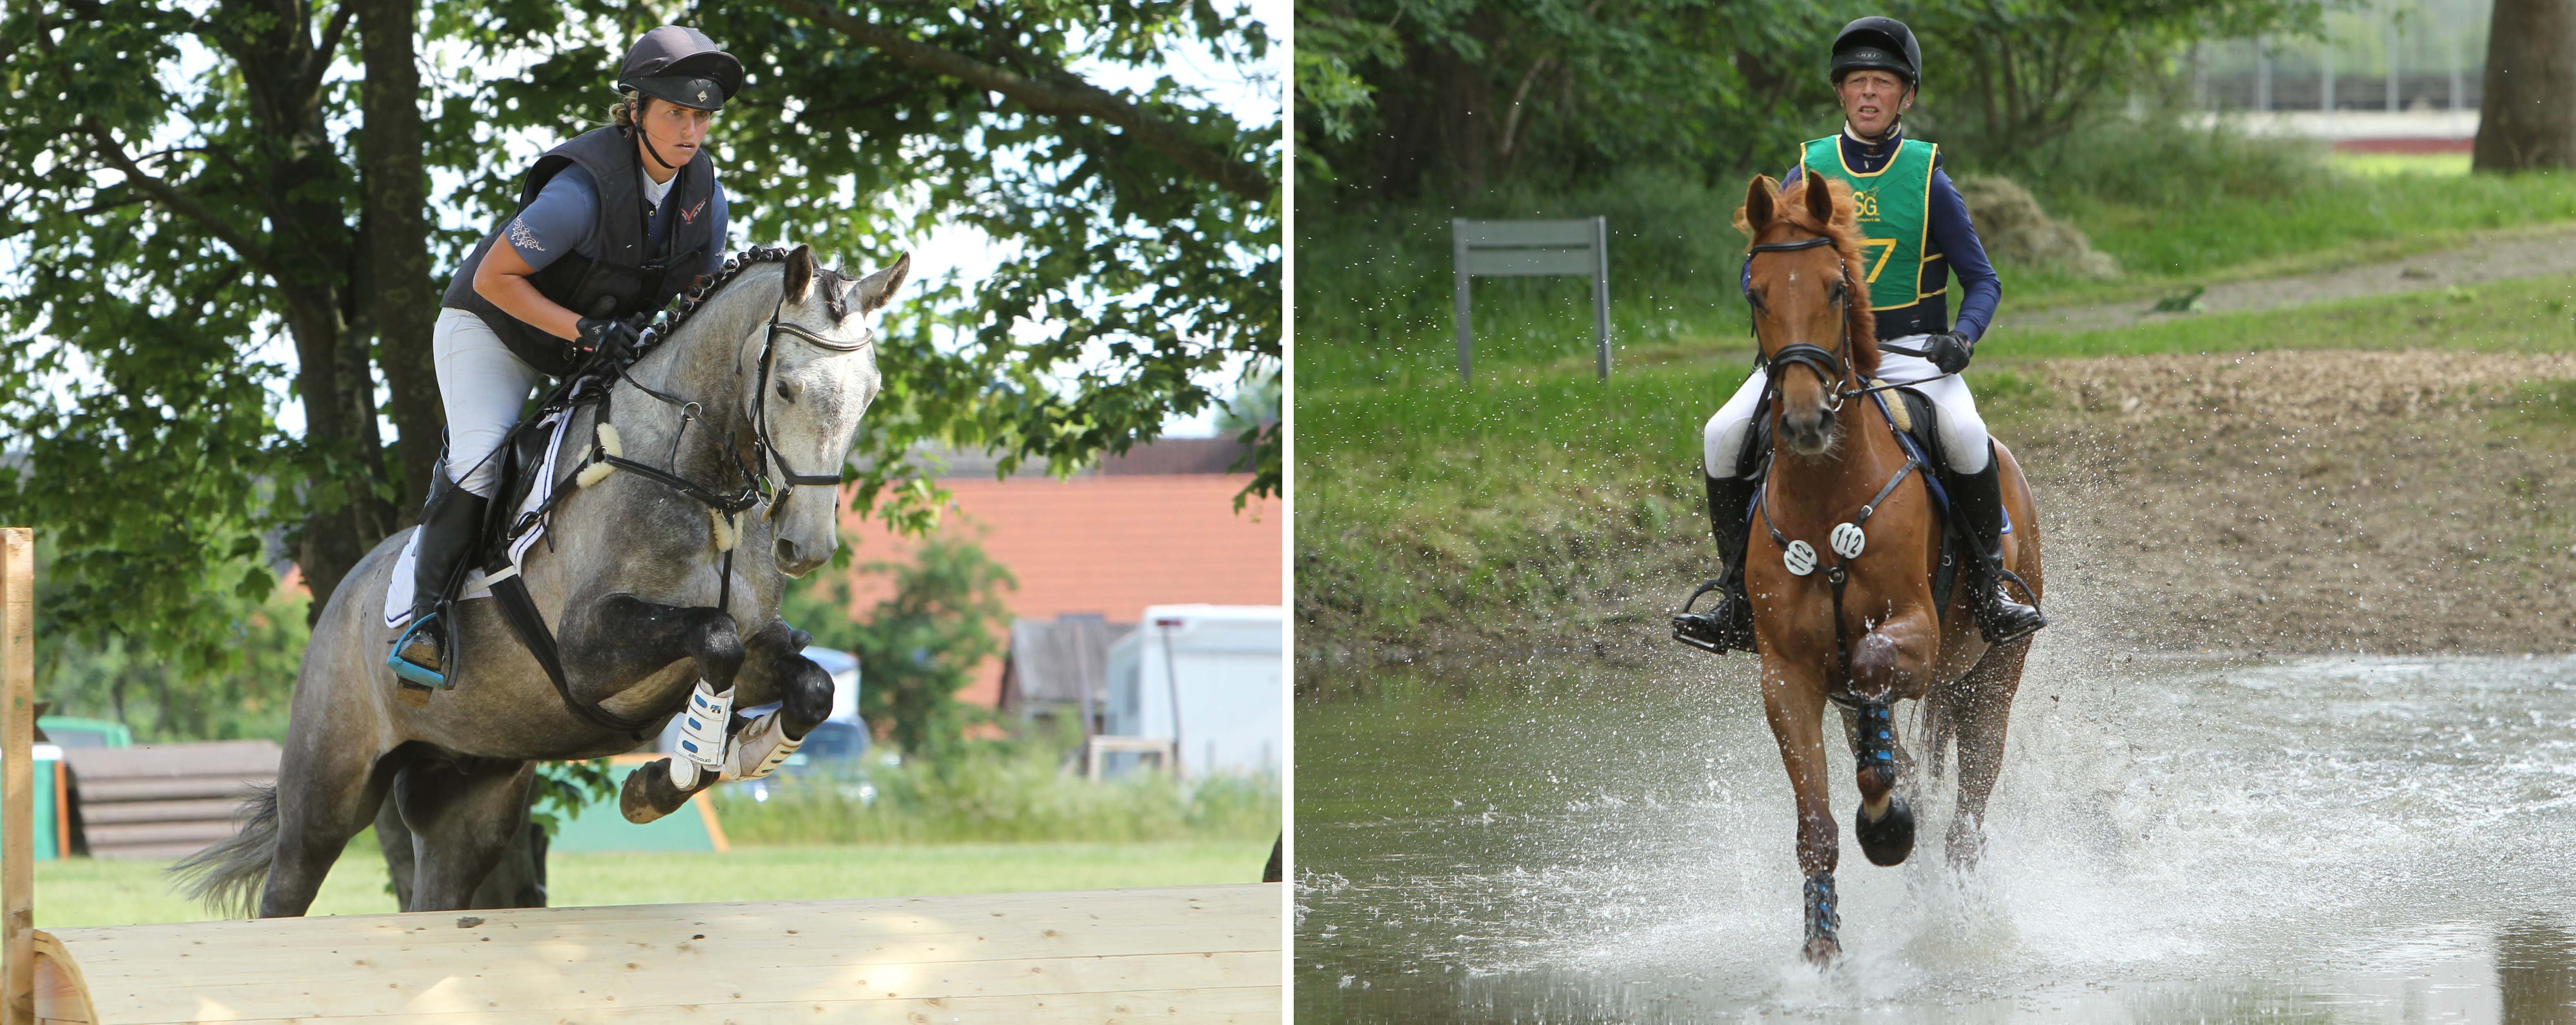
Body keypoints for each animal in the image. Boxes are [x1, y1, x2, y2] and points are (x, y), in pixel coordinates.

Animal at [174, 246, 917, 911]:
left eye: (869, 396)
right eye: (786, 387)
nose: (807, 545)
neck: (700, 486)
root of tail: (342, 596)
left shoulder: (751, 647)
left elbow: (809, 685)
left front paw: (739, 754)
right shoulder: (588, 652)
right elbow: (714, 637)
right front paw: (671, 774)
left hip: (473, 796)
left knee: (438, 892)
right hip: (329, 786)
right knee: (288, 886)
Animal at [1741, 172, 2040, 963]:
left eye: (1836, 287)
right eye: (1757, 292)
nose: (1805, 422)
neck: (1826, 498)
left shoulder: (1919, 632)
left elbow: (1875, 665)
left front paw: (1886, 825)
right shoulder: (1787, 674)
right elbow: (1818, 827)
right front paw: (1821, 953)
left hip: (1991, 680)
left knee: (1968, 813)